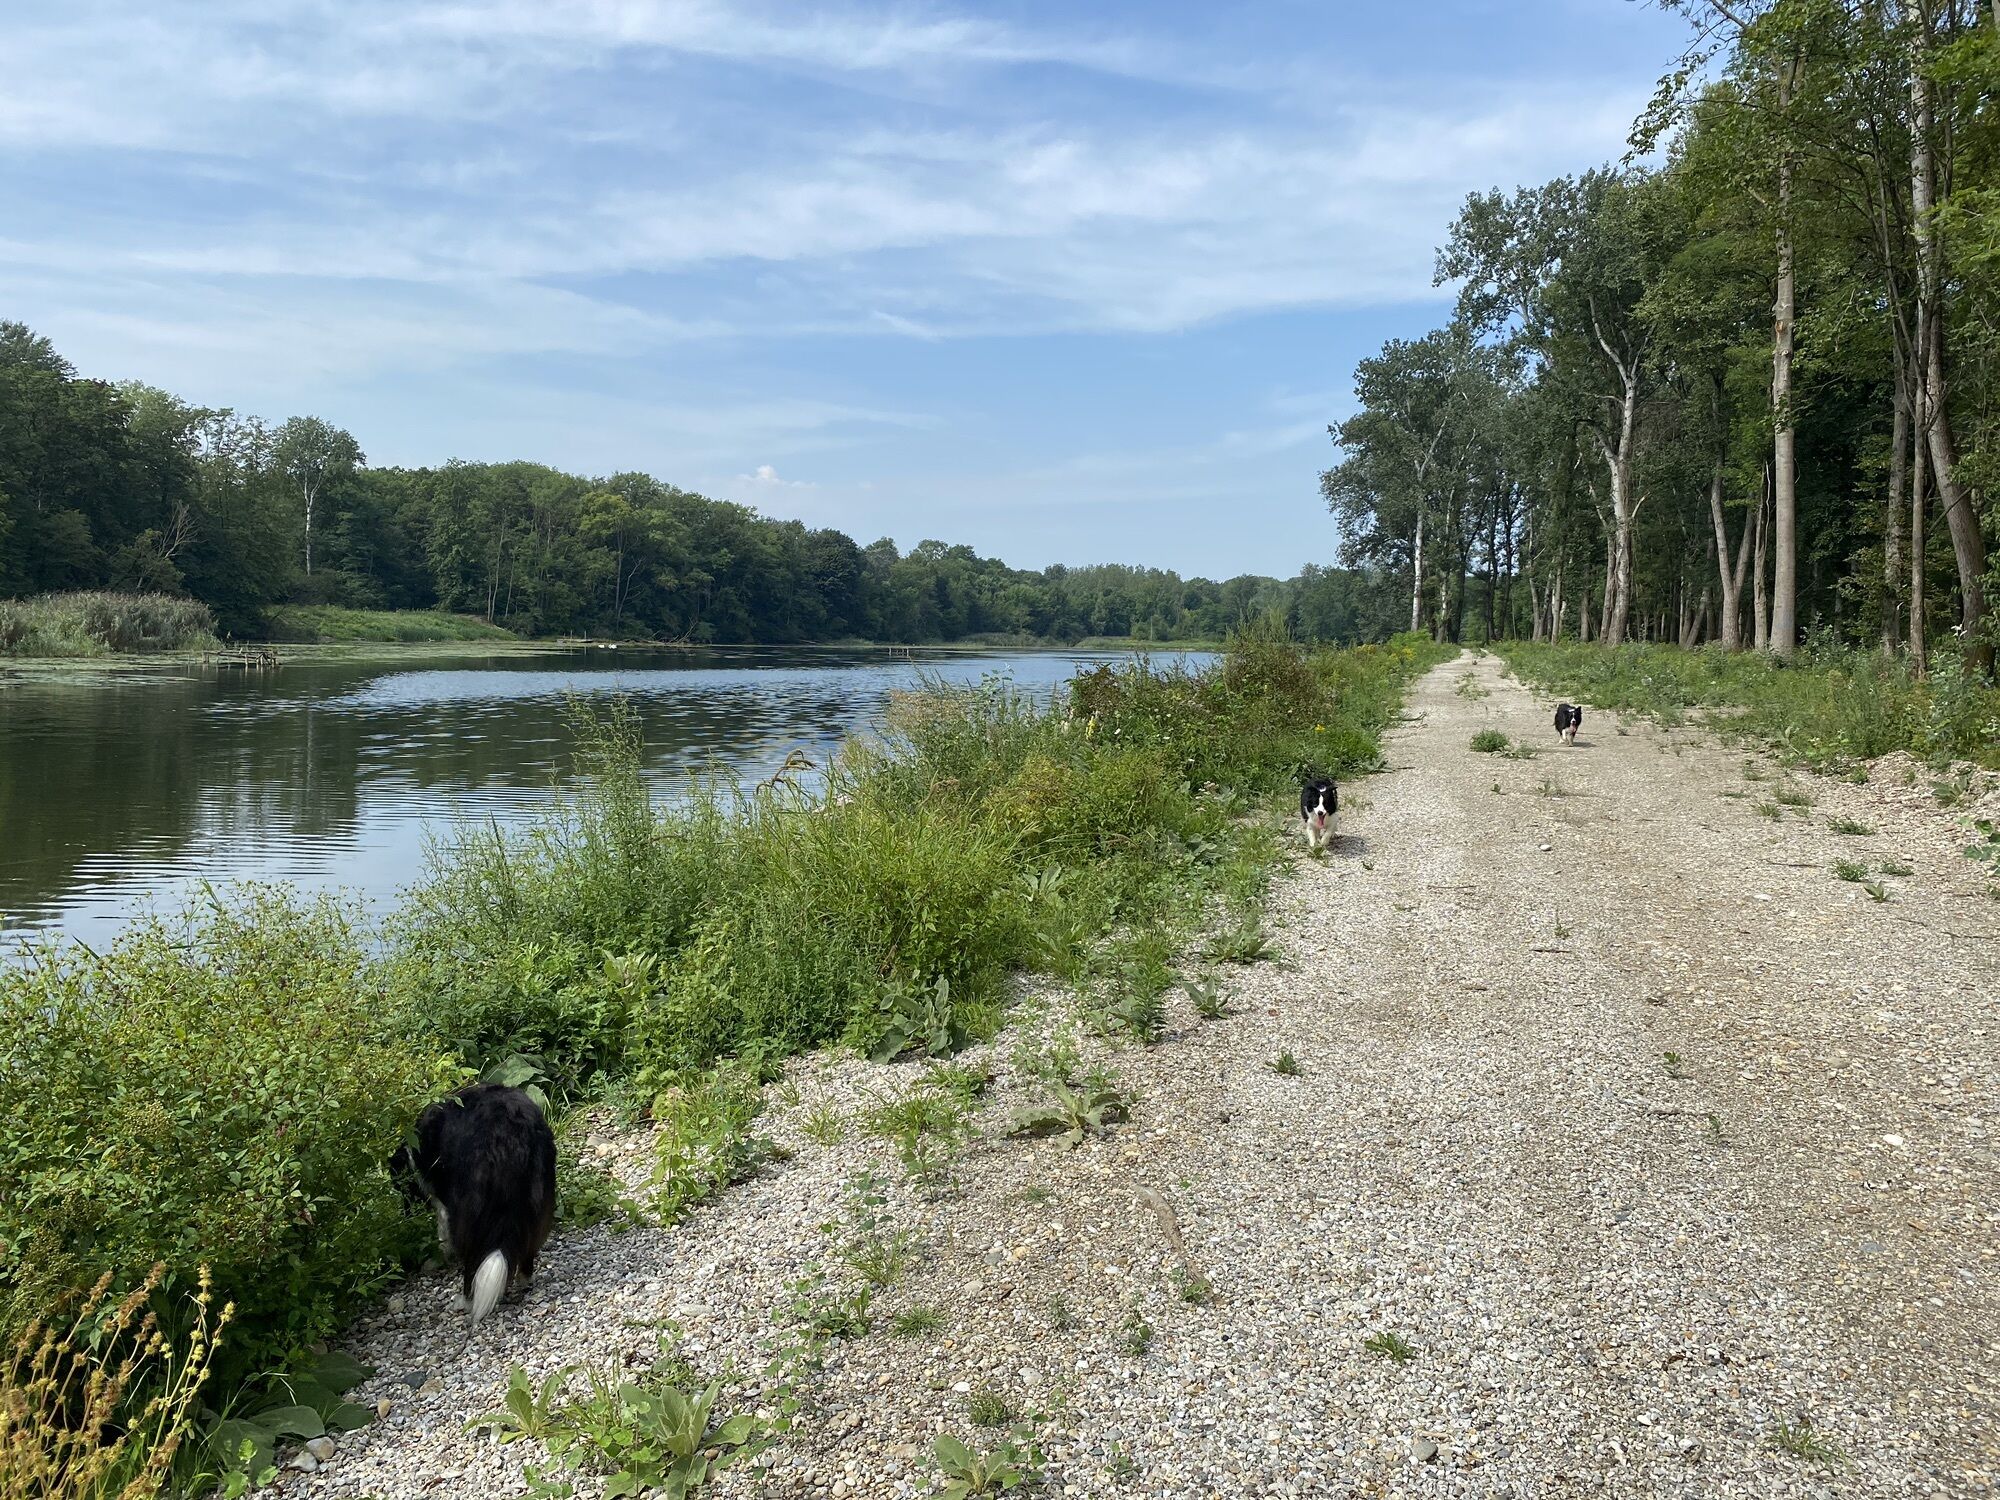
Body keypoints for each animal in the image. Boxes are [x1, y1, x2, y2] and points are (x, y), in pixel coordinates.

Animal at [390, 1084, 557, 1331]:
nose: (405, 1214)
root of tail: (512, 1134)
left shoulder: (444, 1202)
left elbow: (443, 1234)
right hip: (538, 1198)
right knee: (528, 1246)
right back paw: (524, 1280)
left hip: (471, 1210)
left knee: (472, 1258)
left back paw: (465, 1300)